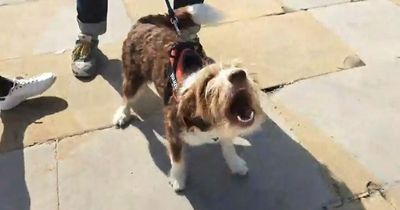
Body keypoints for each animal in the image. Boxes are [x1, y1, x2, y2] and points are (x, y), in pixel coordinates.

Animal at [113, 3, 266, 191]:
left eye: (237, 67)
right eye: (209, 79)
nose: (239, 74)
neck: (206, 122)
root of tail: (143, 21)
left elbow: (228, 146)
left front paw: (235, 164)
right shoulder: (172, 129)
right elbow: (177, 159)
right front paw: (178, 178)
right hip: (134, 77)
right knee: (126, 96)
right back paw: (122, 114)